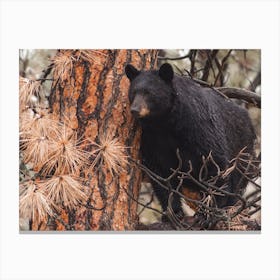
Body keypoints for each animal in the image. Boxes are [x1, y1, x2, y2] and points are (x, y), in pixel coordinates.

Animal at [124, 62, 256, 220]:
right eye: (133, 92)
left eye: (149, 93)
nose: (135, 110)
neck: (165, 122)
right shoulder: (151, 138)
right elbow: (160, 173)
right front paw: (173, 212)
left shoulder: (198, 125)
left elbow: (215, 161)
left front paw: (210, 212)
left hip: (243, 150)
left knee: (237, 178)